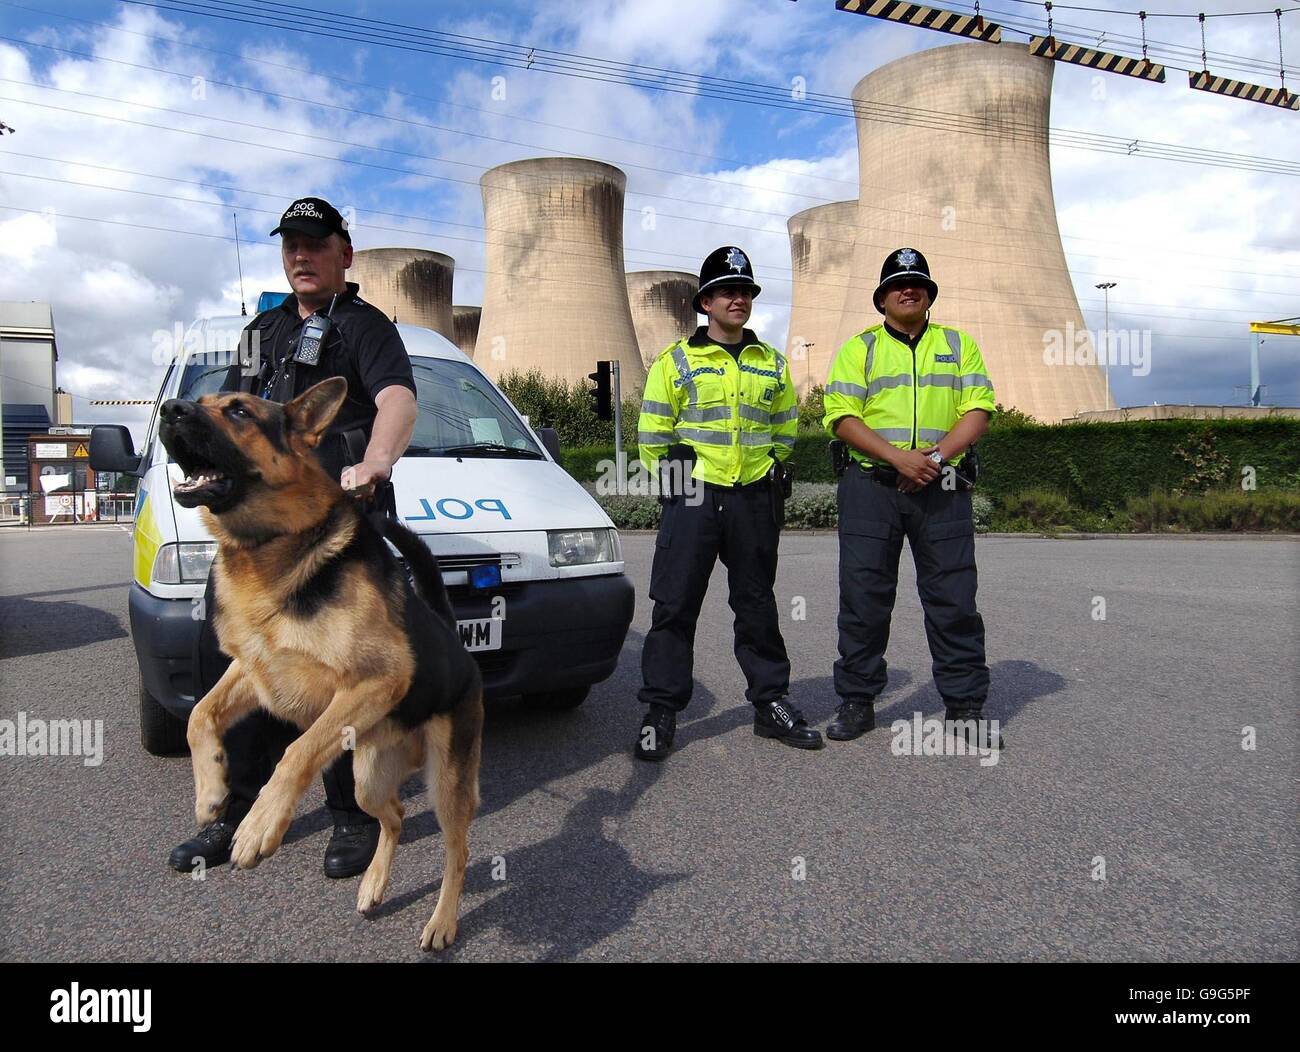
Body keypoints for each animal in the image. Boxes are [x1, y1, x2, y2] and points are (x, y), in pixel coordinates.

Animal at [157, 377, 483, 951]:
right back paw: (373, 885)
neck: (271, 543)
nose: (170, 410)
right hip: (368, 775)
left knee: (456, 851)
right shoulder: (254, 670)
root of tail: (457, 645)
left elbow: (296, 752)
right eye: (205, 401)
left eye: (238, 411)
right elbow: (199, 716)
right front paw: (212, 790)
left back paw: (442, 922)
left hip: (445, 784)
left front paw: (259, 823)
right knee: (395, 816)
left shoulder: (373, 680)